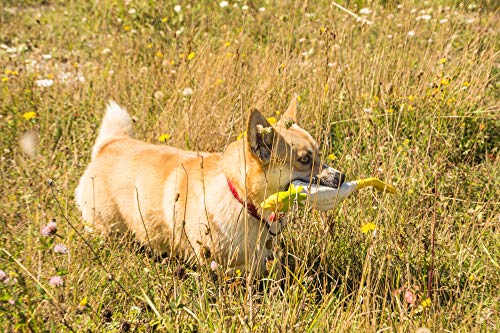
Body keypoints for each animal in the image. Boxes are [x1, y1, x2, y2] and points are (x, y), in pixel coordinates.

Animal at [76, 96, 346, 274]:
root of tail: (110, 144)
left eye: (319, 154)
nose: (341, 177)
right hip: (110, 231)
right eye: (304, 160)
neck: (241, 198)